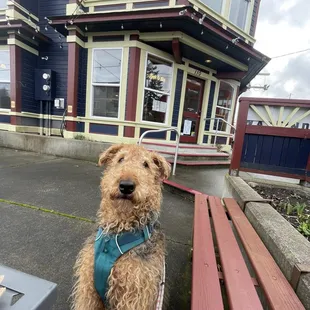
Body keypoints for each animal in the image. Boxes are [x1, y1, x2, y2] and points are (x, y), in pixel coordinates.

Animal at [71, 144, 171, 308]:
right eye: (120, 159)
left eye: (146, 164)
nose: (126, 185)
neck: (118, 231)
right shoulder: (88, 288)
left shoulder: (134, 294)